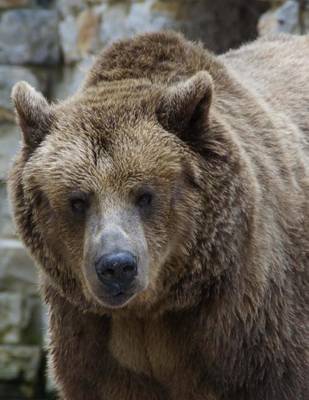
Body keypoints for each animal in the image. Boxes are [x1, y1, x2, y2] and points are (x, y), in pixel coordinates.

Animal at [8, 32, 306, 400]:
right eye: (78, 200)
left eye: (145, 195)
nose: (117, 266)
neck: (153, 308)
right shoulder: (94, 341)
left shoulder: (252, 325)